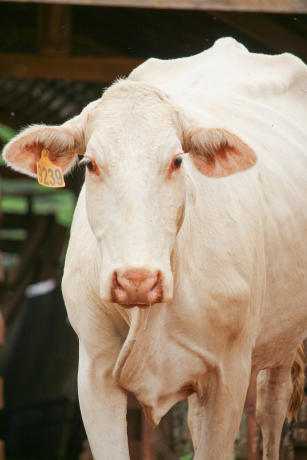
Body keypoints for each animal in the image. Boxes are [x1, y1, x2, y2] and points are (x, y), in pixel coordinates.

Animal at [3, 37, 307, 458]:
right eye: (91, 163)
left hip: (282, 341)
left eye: (177, 160)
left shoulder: (229, 375)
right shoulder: (94, 372)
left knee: (271, 409)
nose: (137, 279)